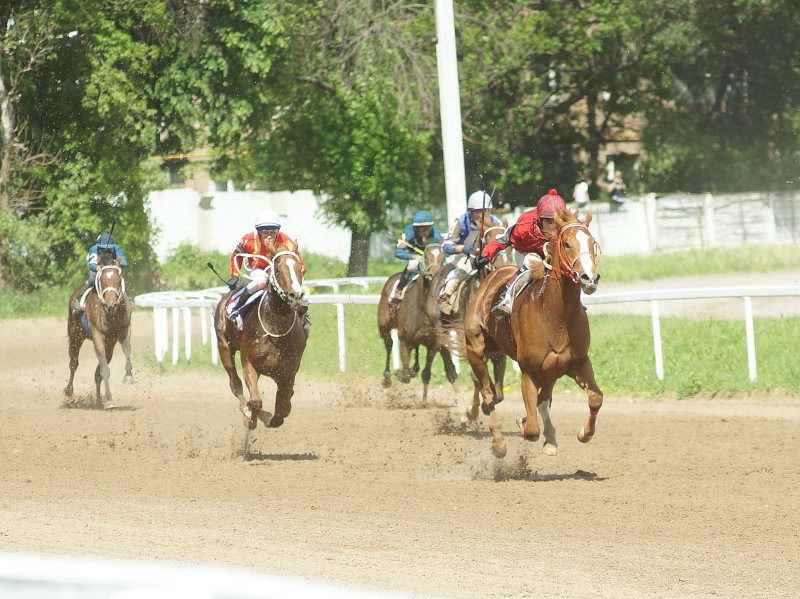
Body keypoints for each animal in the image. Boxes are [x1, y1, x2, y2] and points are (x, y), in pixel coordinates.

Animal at [65, 264, 134, 412]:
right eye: (102, 281)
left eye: (118, 281)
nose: (110, 304)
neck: (110, 314)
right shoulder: (97, 336)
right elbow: (104, 370)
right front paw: (109, 400)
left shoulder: (124, 331)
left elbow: (126, 350)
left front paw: (128, 376)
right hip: (75, 336)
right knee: (73, 364)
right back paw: (68, 390)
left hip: (109, 346)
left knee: (97, 374)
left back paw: (97, 401)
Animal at [214, 243, 308, 432]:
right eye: (278, 269)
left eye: (299, 268)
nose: (296, 295)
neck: (276, 331)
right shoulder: (249, 362)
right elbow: (256, 401)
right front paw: (251, 418)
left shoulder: (288, 372)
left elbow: (283, 406)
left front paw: (272, 416)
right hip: (224, 346)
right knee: (235, 384)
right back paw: (246, 410)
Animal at [378, 241, 460, 400]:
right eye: (426, 256)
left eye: (443, 257)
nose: (434, 274)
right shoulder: (405, 341)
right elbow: (405, 375)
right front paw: (400, 372)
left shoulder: (433, 344)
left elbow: (426, 374)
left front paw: (424, 400)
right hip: (383, 326)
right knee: (389, 344)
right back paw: (387, 378)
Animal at [462, 209, 600, 458]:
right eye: (566, 244)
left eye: (592, 243)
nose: (589, 279)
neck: (555, 316)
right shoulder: (529, 370)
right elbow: (532, 428)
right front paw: (523, 423)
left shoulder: (578, 362)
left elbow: (595, 398)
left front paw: (584, 433)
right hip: (476, 348)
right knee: (488, 394)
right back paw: (498, 443)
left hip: (542, 367)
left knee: (542, 400)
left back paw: (550, 439)